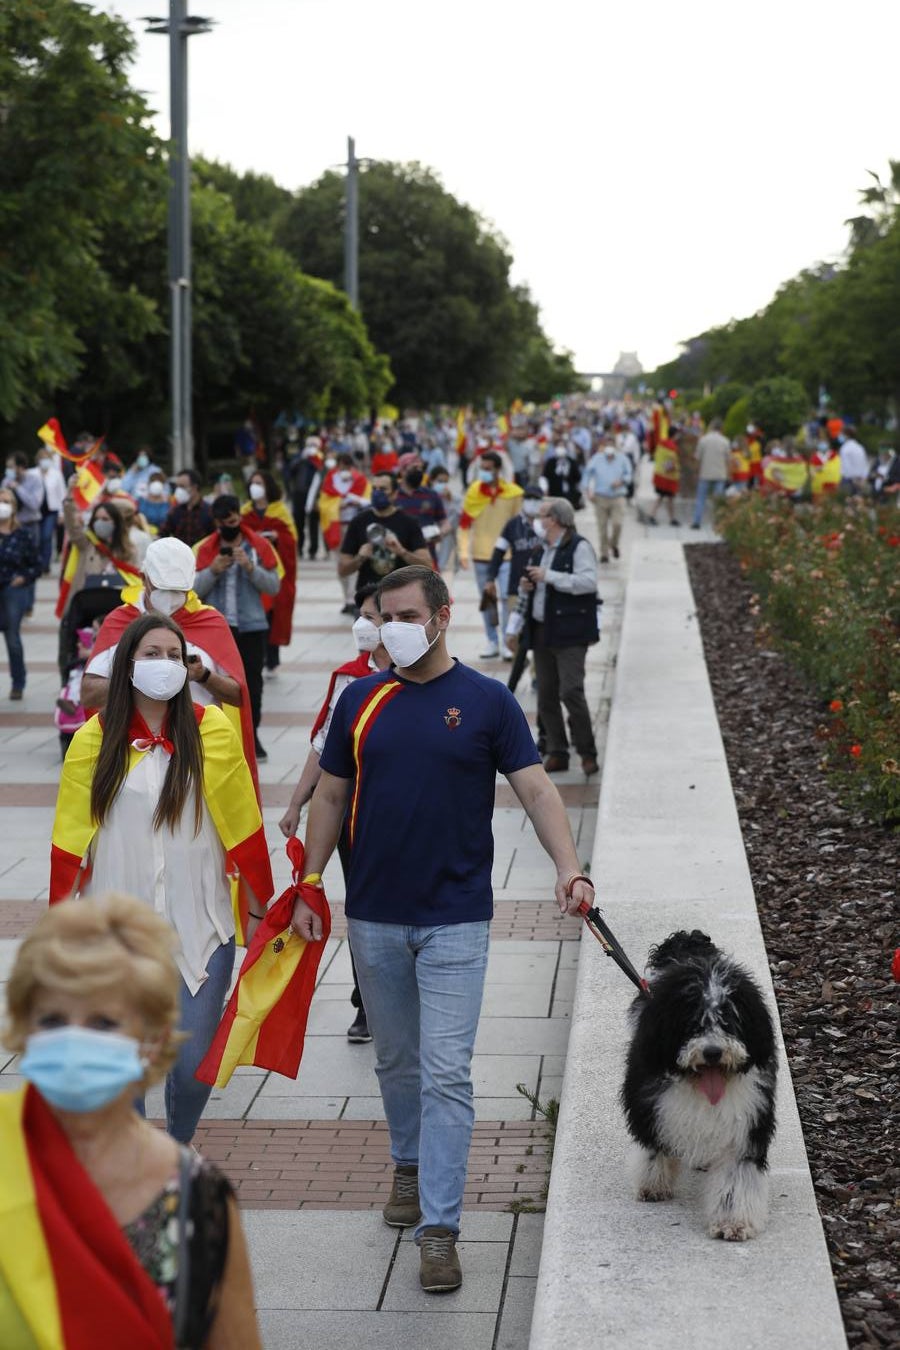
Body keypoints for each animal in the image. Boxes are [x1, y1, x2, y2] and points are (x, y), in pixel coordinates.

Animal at [623, 934, 777, 1236]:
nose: (713, 1052)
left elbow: (735, 1176)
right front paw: (653, 1183)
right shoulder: (650, 1104)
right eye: (692, 1023)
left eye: (729, 1021)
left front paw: (733, 1222)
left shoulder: (747, 1124)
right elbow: (654, 1146)